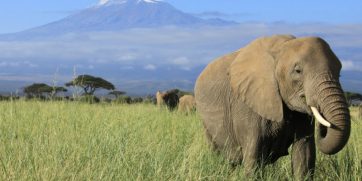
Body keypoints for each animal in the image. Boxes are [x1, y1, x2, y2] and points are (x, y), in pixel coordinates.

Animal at [195, 34, 350, 180]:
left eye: (340, 72)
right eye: (298, 71)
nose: (324, 126)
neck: (281, 48)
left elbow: (304, 155)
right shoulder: (247, 105)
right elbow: (253, 158)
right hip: (206, 124)